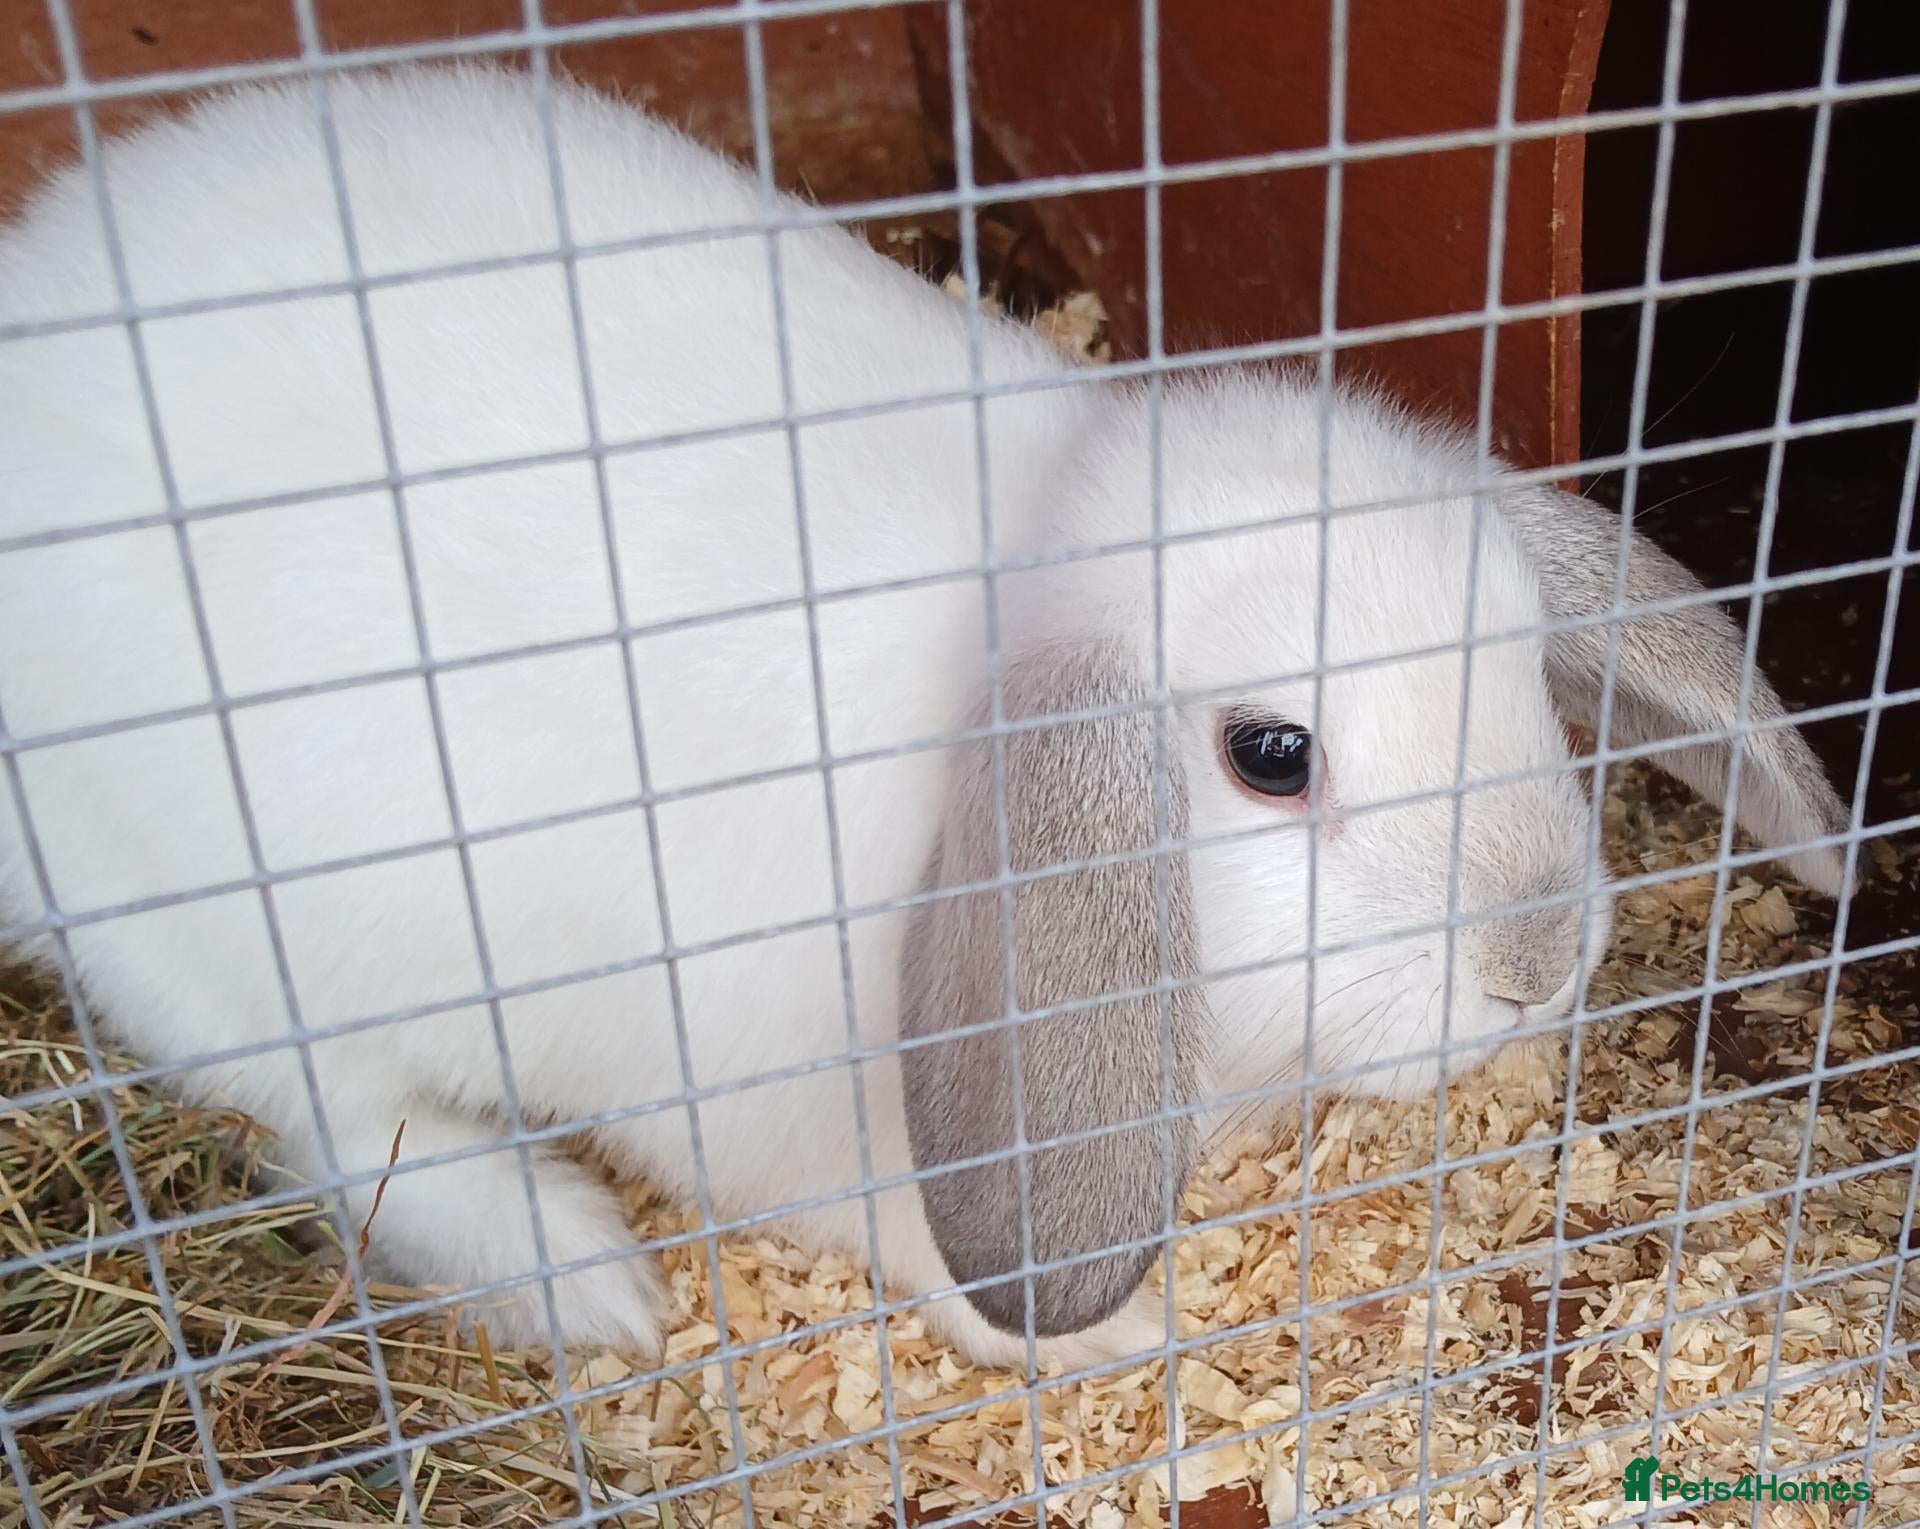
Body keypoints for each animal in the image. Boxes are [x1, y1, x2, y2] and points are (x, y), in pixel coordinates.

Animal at [0, 65, 1853, 1369]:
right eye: (1270, 757)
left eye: (1527, 666)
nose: (1540, 958)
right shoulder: (799, 1114)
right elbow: (918, 1248)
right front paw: (1116, 1332)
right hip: (222, 948)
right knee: (349, 1126)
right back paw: (584, 1278)